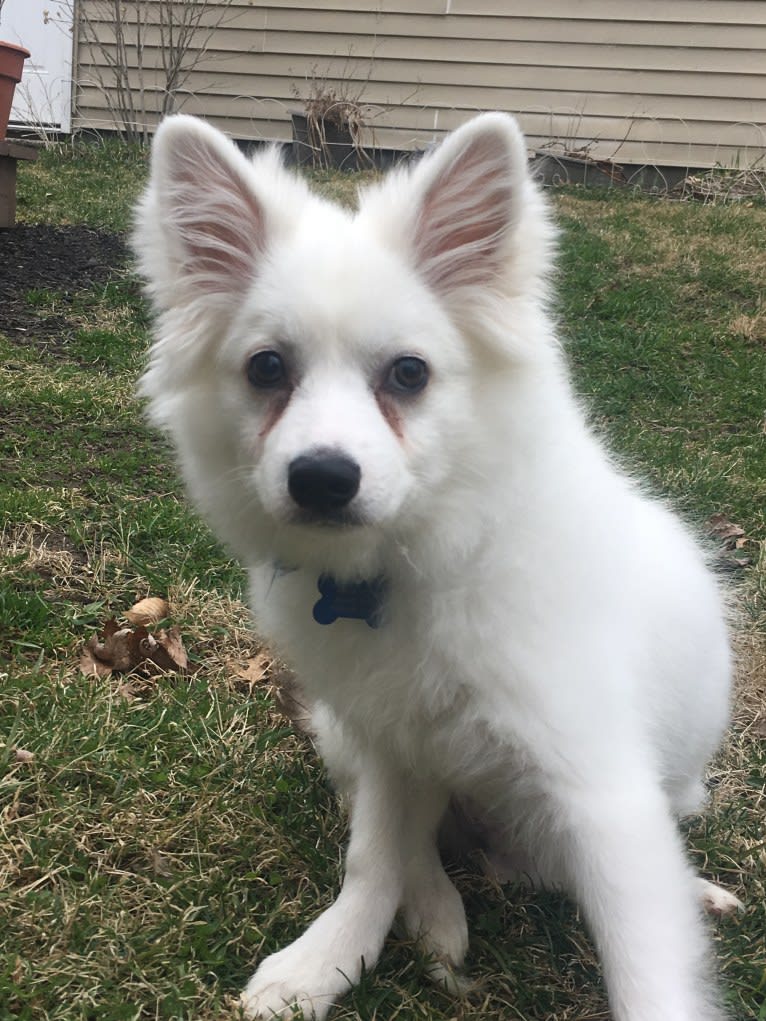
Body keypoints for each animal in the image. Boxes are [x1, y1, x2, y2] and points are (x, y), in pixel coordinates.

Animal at [134, 113, 739, 1021]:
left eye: (409, 373)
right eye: (267, 368)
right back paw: (436, 914)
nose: (321, 477)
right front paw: (329, 959)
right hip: (345, 731)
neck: (418, 559)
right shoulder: (389, 736)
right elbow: (374, 855)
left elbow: (649, 970)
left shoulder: (604, 793)